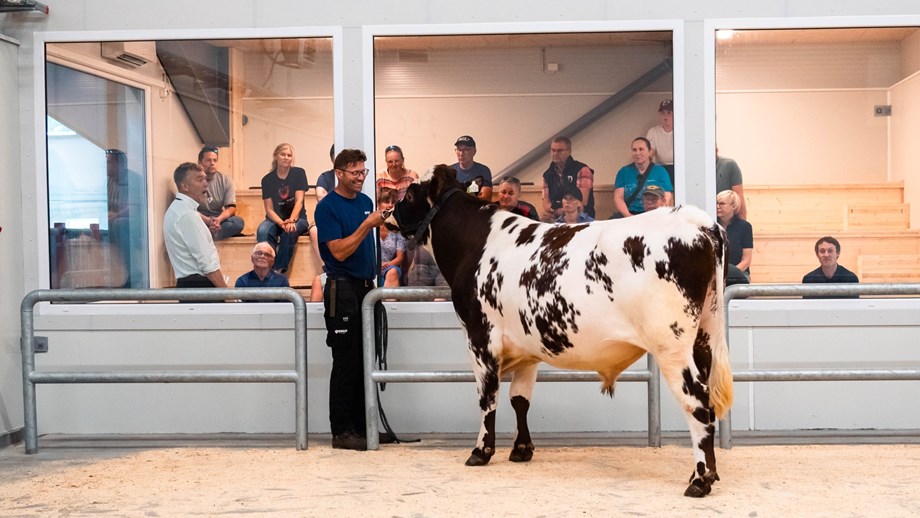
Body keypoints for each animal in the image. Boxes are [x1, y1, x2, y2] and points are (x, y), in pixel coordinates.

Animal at [388, 165, 732, 498]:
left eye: (410, 192)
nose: (388, 212)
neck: (475, 243)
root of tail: (698, 222)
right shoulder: (526, 346)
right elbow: (520, 399)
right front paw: (522, 449)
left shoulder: (480, 337)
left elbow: (487, 397)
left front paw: (481, 451)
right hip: (704, 337)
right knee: (708, 404)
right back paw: (711, 473)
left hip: (672, 346)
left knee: (697, 402)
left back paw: (699, 481)